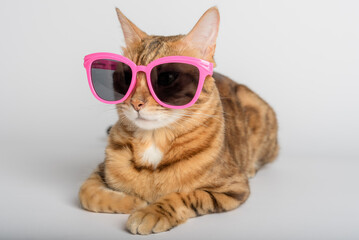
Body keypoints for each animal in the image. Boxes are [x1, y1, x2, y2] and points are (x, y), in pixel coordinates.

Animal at [80, 6, 280, 234]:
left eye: (167, 78)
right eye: (127, 76)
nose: (136, 102)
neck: (153, 140)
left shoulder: (233, 188)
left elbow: (187, 195)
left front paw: (150, 211)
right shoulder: (100, 170)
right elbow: (86, 193)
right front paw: (133, 201)